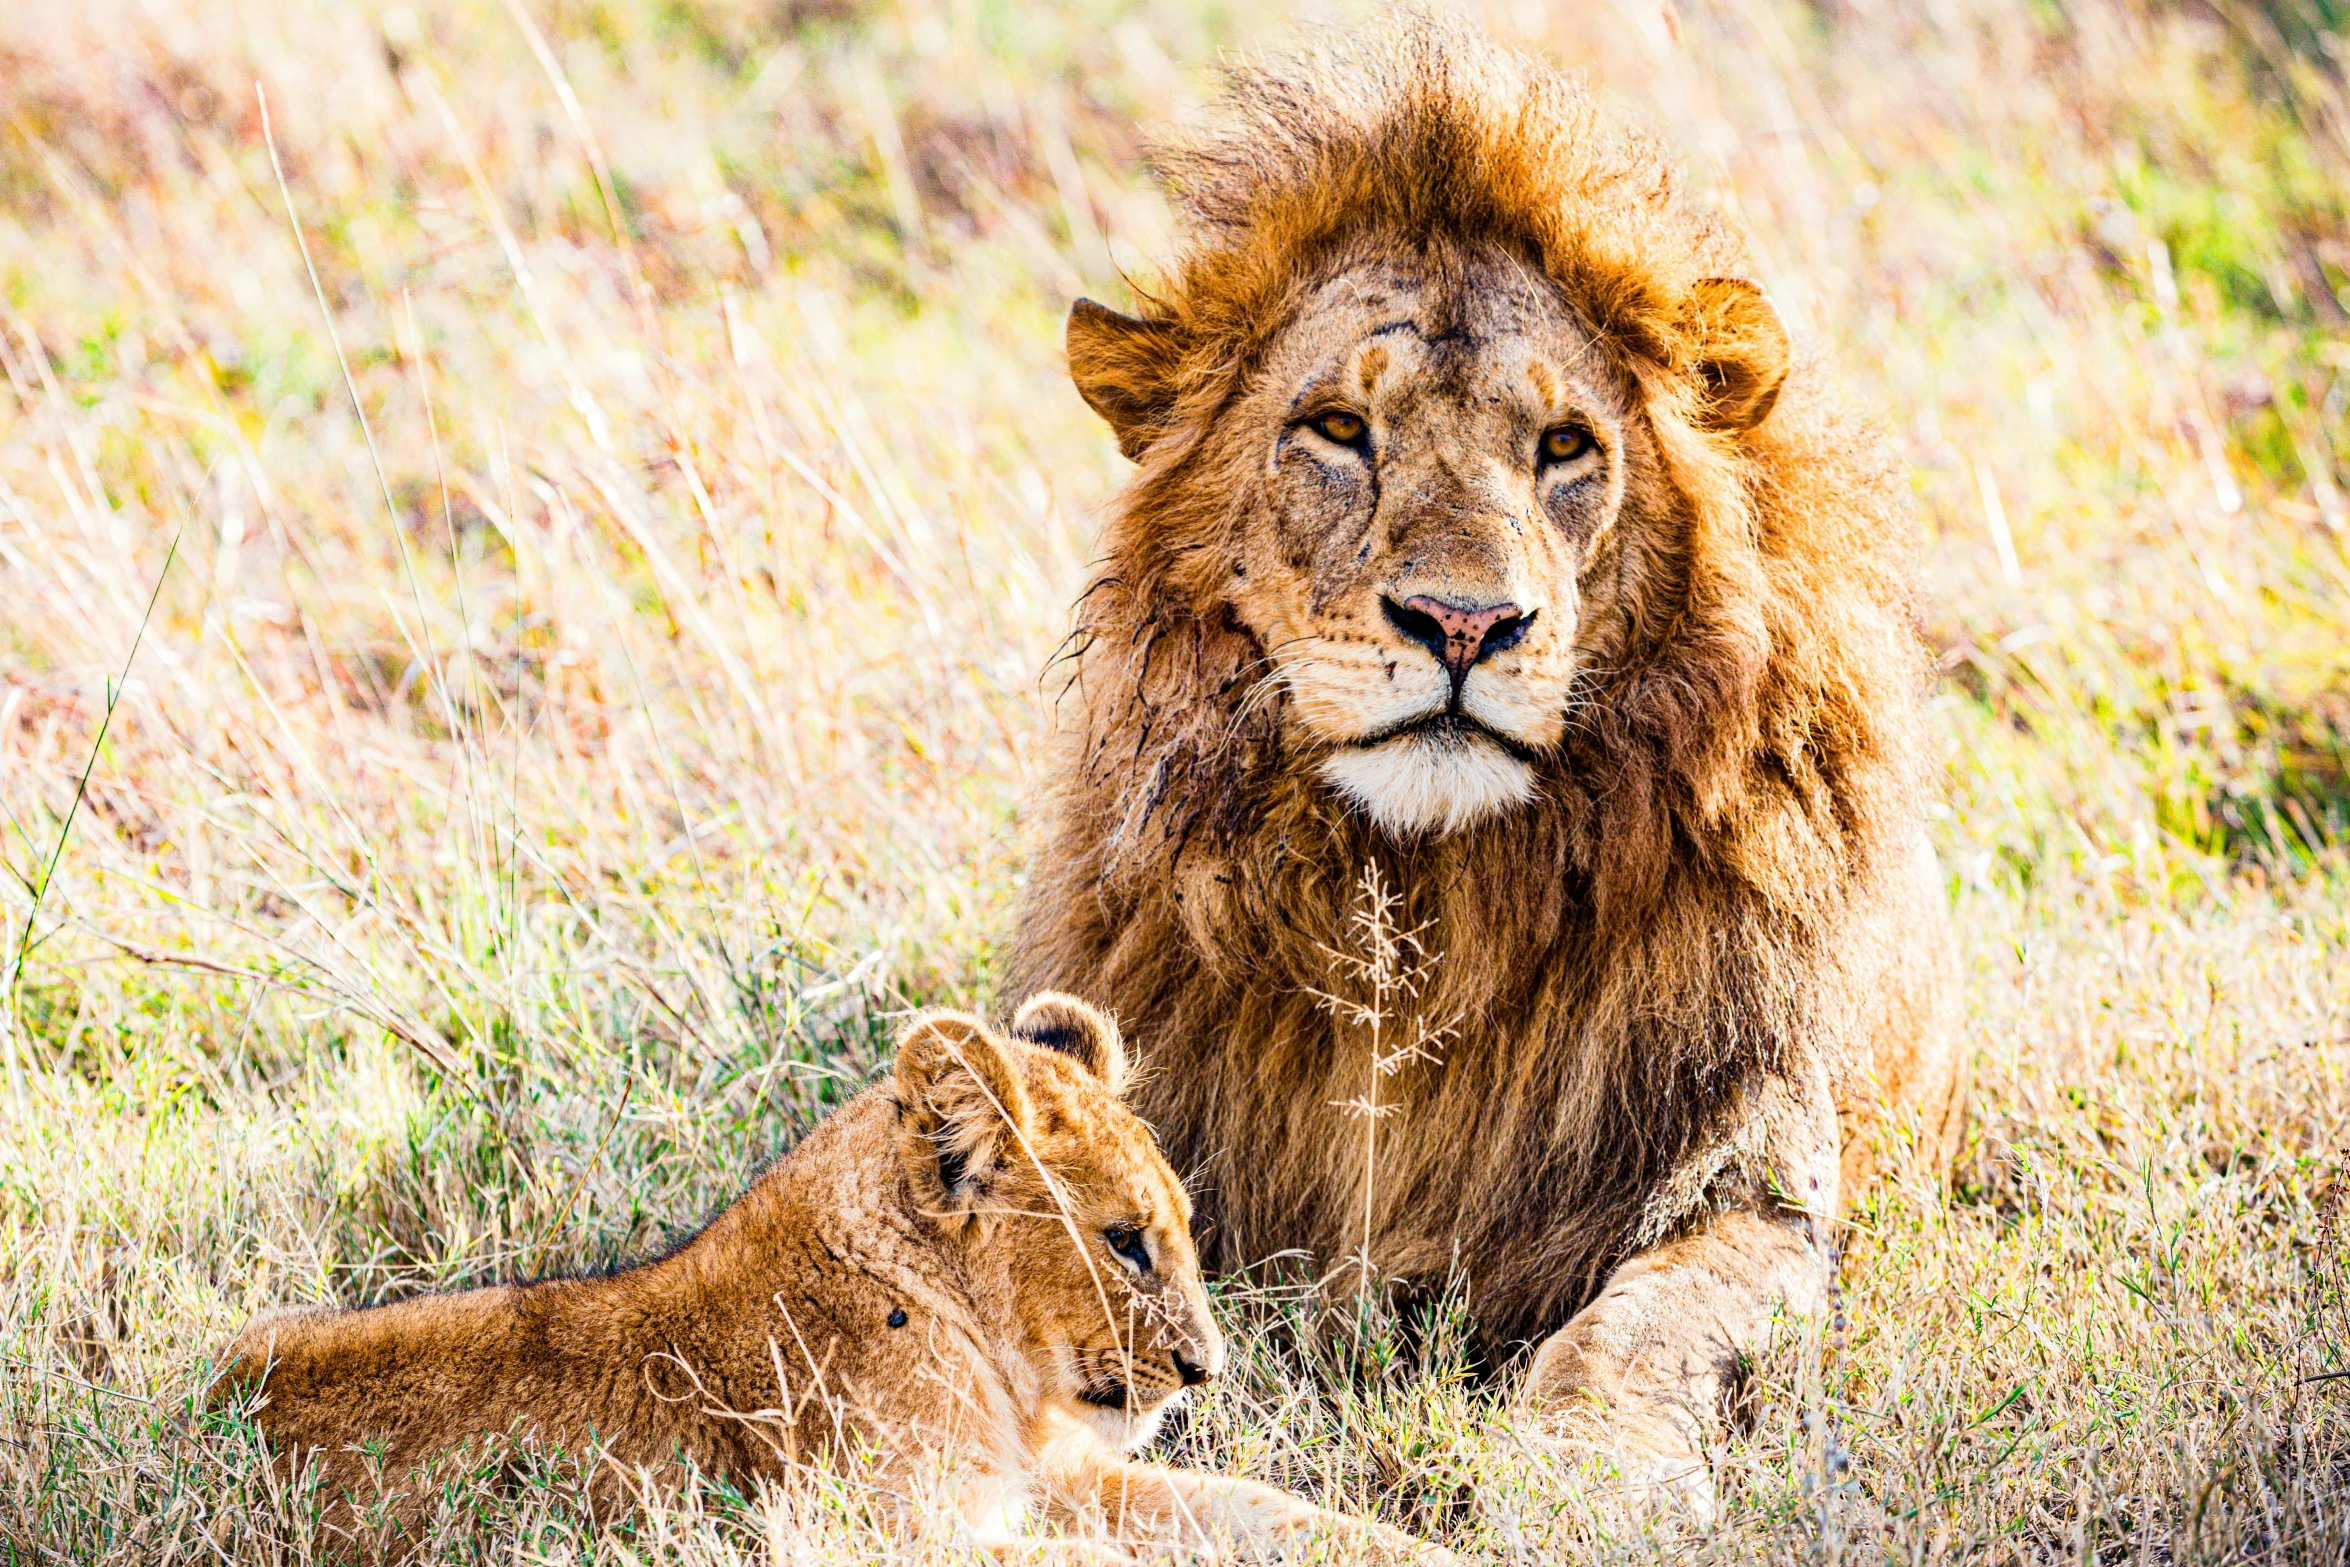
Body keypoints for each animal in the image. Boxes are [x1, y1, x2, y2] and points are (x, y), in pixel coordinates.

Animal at [211, 1000, 1438, 1559]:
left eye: (1179, 1228)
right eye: (1125, 1241)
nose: (1203, 1369)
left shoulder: (1043, 1478)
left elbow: (1250, 1506)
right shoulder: (887, 1530)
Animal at [1010, 27, 1964, 1522]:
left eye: (1563, 445)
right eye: (1337, 429)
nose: (1464, 624)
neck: (1428, 898)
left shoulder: (1749, 1166)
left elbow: (1652, 1320)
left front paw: (1589, 1476)